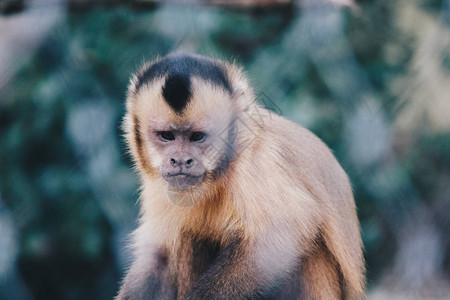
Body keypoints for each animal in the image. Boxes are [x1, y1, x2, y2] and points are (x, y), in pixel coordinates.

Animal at [117, 52, 366, 298]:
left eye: (197, 136)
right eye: (167, 135)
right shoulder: (159, 181)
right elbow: (159, 256)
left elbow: (278, 238)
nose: (180, 160)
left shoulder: (256, 160)